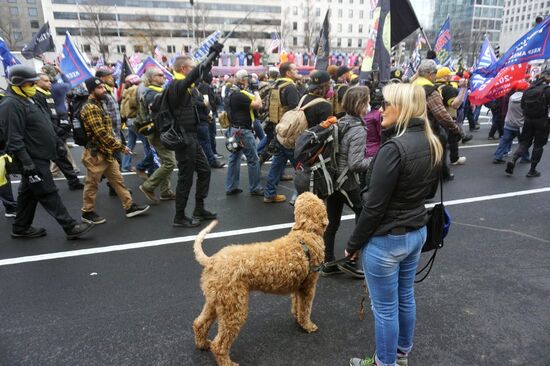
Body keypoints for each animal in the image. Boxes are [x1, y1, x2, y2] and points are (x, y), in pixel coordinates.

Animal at [193, 192, 328, 366]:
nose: (303, 193)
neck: (306, 232)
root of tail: (212, 261)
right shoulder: (308, 286)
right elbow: (305, 309)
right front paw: (308, 326)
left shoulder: (298, 286)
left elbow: (297, 305)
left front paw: (297, 319)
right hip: (234, 306)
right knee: (219, 344)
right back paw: (227, 362)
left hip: (216, 301)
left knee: (199, 323)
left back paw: (202, 344)